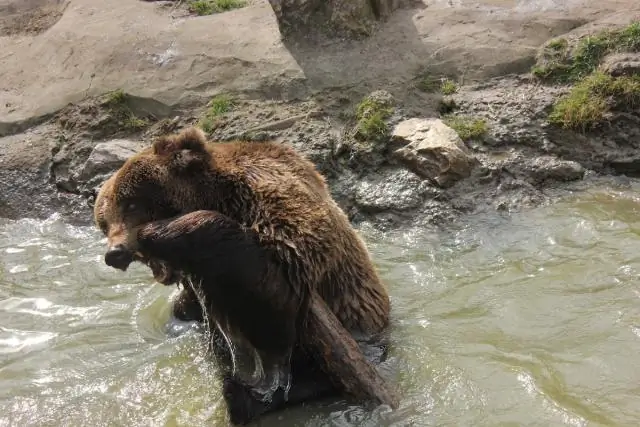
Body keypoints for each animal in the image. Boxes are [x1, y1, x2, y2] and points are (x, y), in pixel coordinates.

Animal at [90, 126, 390, 424]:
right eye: (104, 221)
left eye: (130, 203)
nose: (115, 253)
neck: (220, 196)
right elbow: (189, 307)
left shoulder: (277, 209)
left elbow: (278, 296)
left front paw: (161, 230)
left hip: (359, 333)